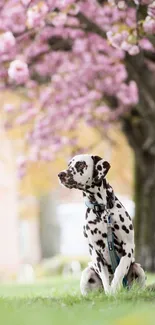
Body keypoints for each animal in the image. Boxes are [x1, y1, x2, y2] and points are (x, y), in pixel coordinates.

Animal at [58, 154, 147, 294]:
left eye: (80, 164)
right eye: (69, 165)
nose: (60, 174)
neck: (102, 210)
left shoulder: (128, 247)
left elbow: (119, 270)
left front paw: (114, 290)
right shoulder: (96, 253)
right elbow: (105, 279)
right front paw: (110, 294)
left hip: (138, 268)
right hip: (87, 273)